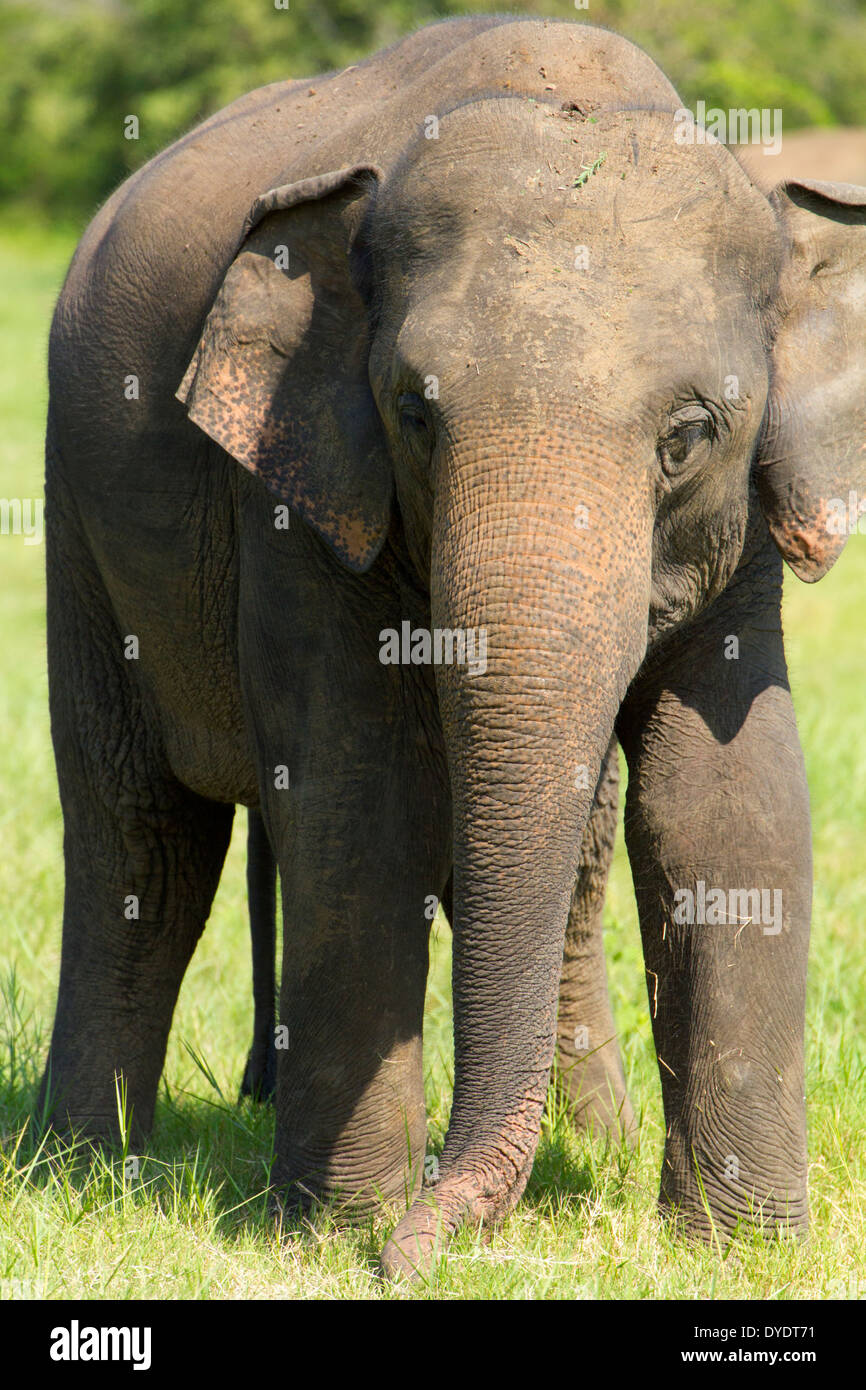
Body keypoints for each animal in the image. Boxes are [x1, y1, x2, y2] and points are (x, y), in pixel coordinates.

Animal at [40, 16, 866, 1278]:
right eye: (413, 413)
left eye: (687, 436)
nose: (428, 1244)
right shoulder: (296, 490)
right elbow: (359, 797)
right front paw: (342, 1235)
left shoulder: (744, 535)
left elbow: (727, 800)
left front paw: (739, 1253)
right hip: (75, 514)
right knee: (140, 840)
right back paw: (78, 1169)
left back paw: (595, 1141)